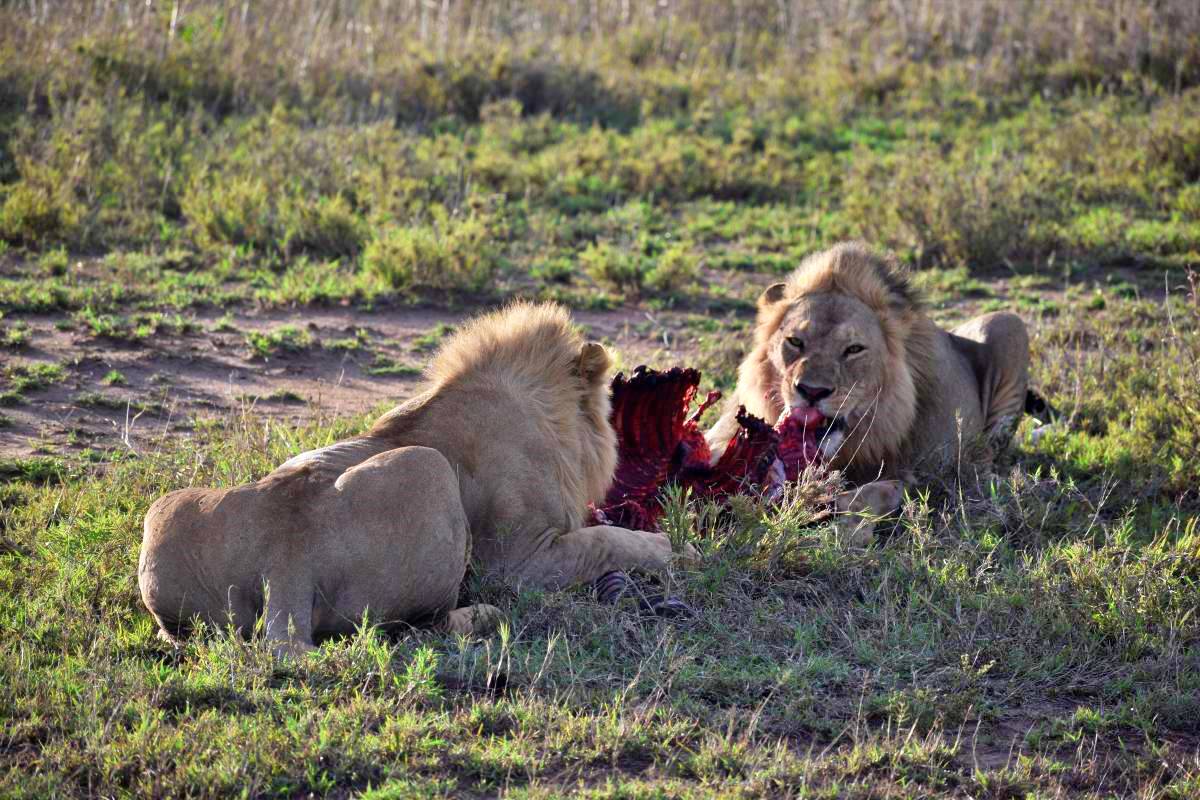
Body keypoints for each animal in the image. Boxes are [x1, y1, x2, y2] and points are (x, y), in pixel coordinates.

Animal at [138, 302, 696, 657]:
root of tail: (286, 566)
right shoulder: (521, 559)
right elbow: (606, 539)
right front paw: (675, 549)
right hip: (429, 468)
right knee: (415, 628)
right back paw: (486, 616)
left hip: (167, 509)